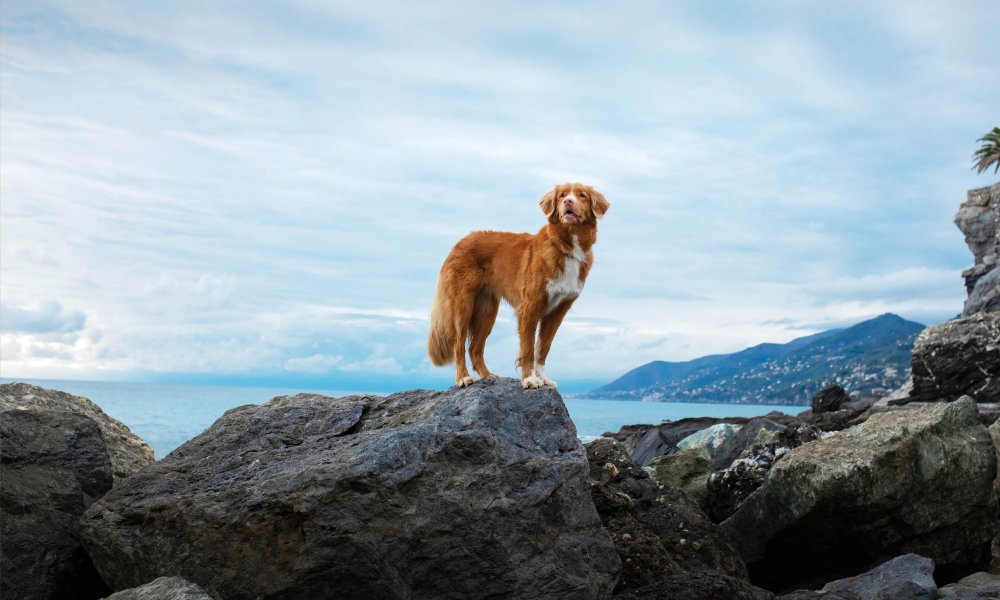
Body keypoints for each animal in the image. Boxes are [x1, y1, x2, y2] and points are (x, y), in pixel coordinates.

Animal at [428, 183, 608, 390]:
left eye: (582, 196)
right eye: (562, 196)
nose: (568, 202)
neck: (566, 245)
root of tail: (459, 242)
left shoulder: (557, 311)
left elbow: (543, 348)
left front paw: (543, 378)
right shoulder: (530, 307)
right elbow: (528, 349)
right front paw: (529, 379)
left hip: (487, 312)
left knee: (475, 348)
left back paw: (488, 376)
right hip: (463, 305)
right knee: (458, 344)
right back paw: (463, 378)